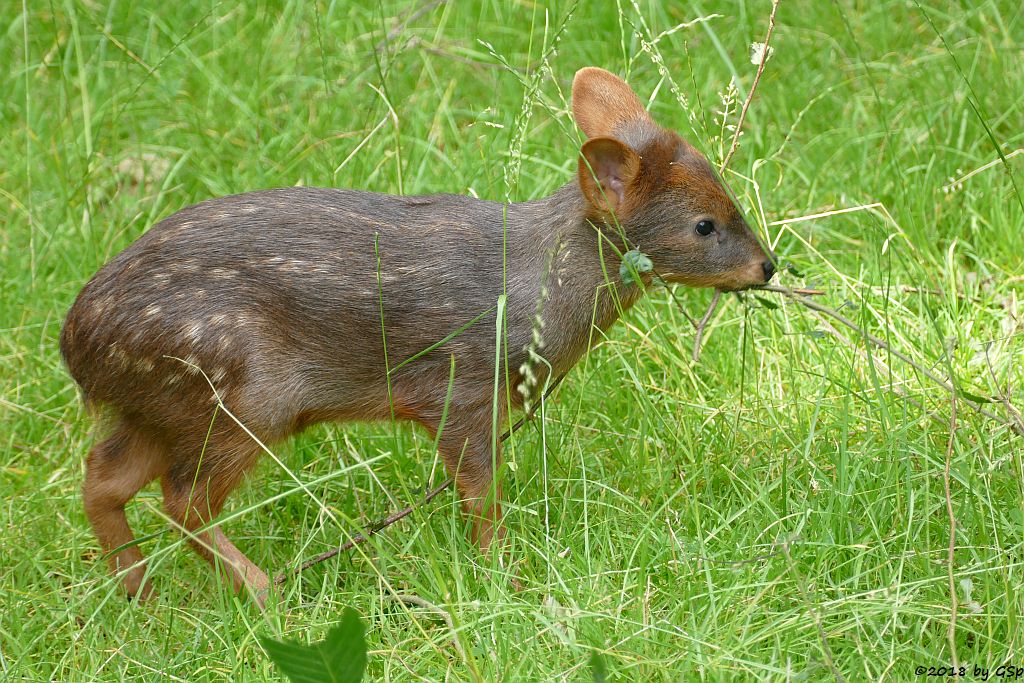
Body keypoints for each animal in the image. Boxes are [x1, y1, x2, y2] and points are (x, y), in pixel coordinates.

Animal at [59, 68, 770, 602]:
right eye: (705, 224)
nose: (769, 265)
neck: (535, 293)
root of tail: (76, 345)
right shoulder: (460, 392)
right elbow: (482, 498)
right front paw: (504, 578)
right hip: (236, 392)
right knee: (183, 500)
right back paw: (265, 593)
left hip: (162, 404)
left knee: (103, 476)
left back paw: (142, 596)